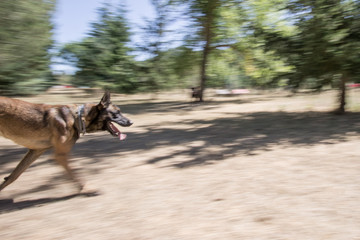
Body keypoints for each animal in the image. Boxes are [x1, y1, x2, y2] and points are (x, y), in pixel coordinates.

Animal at [0, 91, 133, 193]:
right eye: (116, 113)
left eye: (120, 111)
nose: (131, 122)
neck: (77, 118)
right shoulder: (60, 155)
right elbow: (74, 172)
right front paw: (86, 189)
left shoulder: (35, 151)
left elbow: (14, 175)